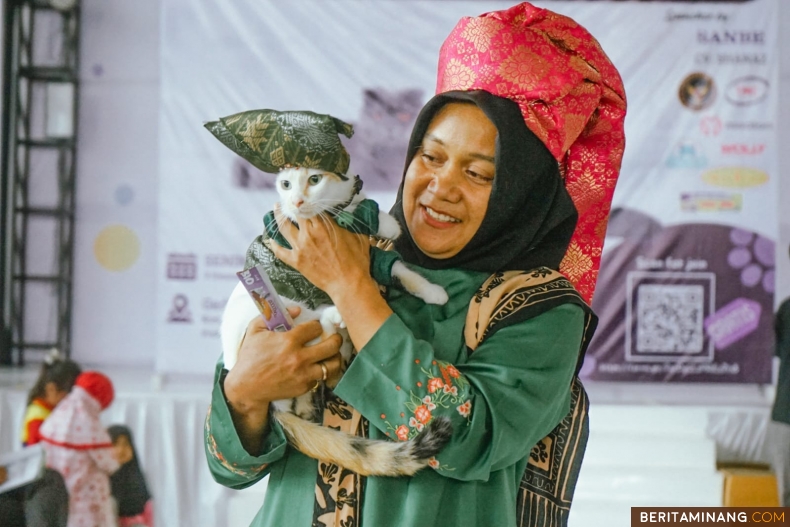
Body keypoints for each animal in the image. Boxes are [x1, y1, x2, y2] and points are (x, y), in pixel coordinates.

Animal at [221, 167, 452, 476]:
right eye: (286, 184)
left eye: (314, 179)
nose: (296, 201)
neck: (336, 208)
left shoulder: (373, 255)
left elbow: (398, 269)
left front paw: (431, 289)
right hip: (281, 311)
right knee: (317, 331)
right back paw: (336, 318)